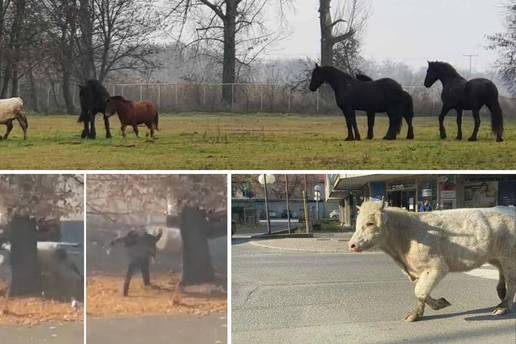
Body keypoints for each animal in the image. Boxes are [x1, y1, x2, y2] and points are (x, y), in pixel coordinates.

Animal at [348, 200, 516, 322]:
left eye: (370, 223)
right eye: (357, 224)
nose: (351, 245)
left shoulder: (437, 267)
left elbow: (420, 291)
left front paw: (436, 305)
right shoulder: (417, 270)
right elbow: (422, 292)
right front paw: (419, 312)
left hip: (509, 257)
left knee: (512, 281)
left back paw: (503, 306)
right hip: (495, 257)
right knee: (502, 273)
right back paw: (501, 293)